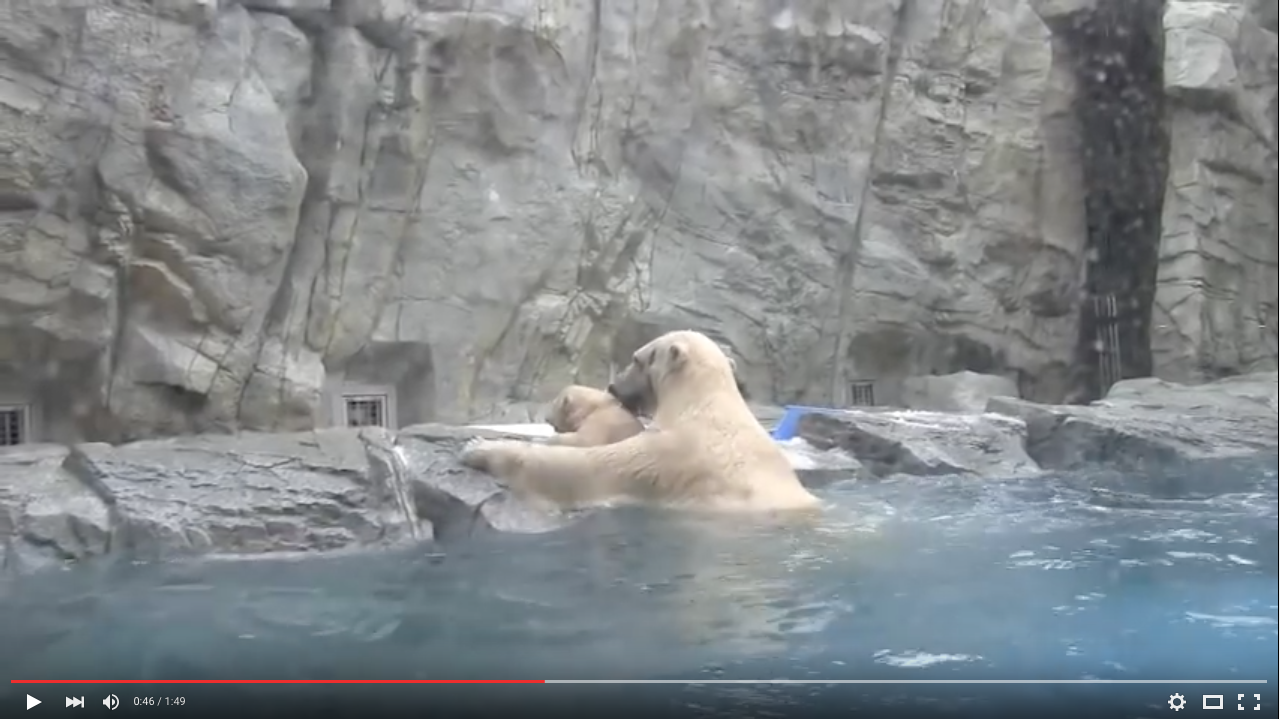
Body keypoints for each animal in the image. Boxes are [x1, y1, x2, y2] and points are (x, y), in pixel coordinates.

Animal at [459, 329, 821, 513]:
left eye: (635, 357)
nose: (613, 386)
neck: (701, 403)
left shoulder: (672, 455)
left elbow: (586, 467)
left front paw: (479, 446)